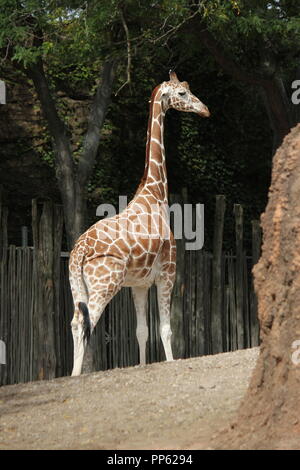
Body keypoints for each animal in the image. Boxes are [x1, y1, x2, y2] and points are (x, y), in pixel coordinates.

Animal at [68, 71, 209, 376]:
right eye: (182, 93)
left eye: (188, 87)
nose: (205, 109)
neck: (155, 192)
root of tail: (78, 253)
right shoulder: (168, 271)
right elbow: (166, 329)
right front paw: (171, 363)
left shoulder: (139, 283)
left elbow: (141, 331)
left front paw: (143, 365)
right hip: (104, 283)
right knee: (86, 322)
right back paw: (76, 376)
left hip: (77, 286)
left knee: (75, 322)